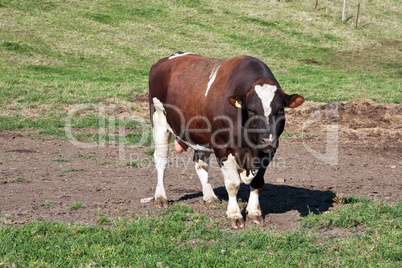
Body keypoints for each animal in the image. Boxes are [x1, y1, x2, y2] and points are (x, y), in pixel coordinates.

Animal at [149, 52, 304, 228]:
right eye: (251, 110)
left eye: (280, 110)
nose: (267, 140)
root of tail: (167, 59)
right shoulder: (223, 148)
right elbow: (232, 184)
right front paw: (234, 215)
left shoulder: (268, 152)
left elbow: (257, 182)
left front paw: (254, 212)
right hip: (159, 121)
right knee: (161, 160)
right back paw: (161, 197)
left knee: (200, 163)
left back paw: (210, 196)